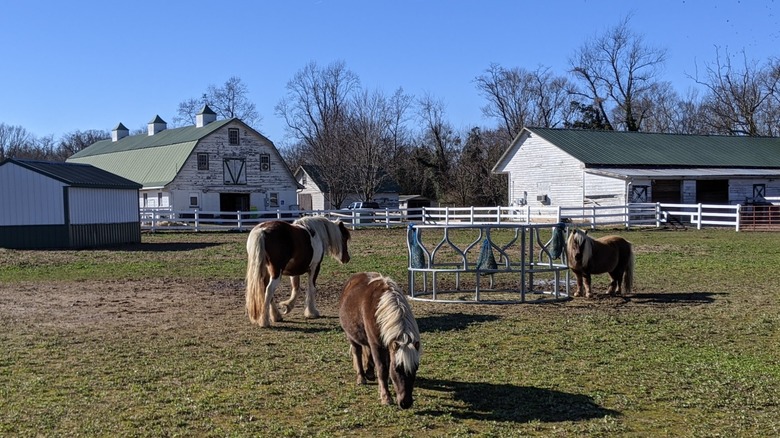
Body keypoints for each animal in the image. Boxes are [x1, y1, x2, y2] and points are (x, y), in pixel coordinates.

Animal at [338, 272, 421, 409]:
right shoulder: (377, 345)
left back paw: (370, 373)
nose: (406, 403)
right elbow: (382, 369)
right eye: (397, 369)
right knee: (357, 352)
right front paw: (386, 397)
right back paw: (361, 377)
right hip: (352, 337)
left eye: (415, 368)